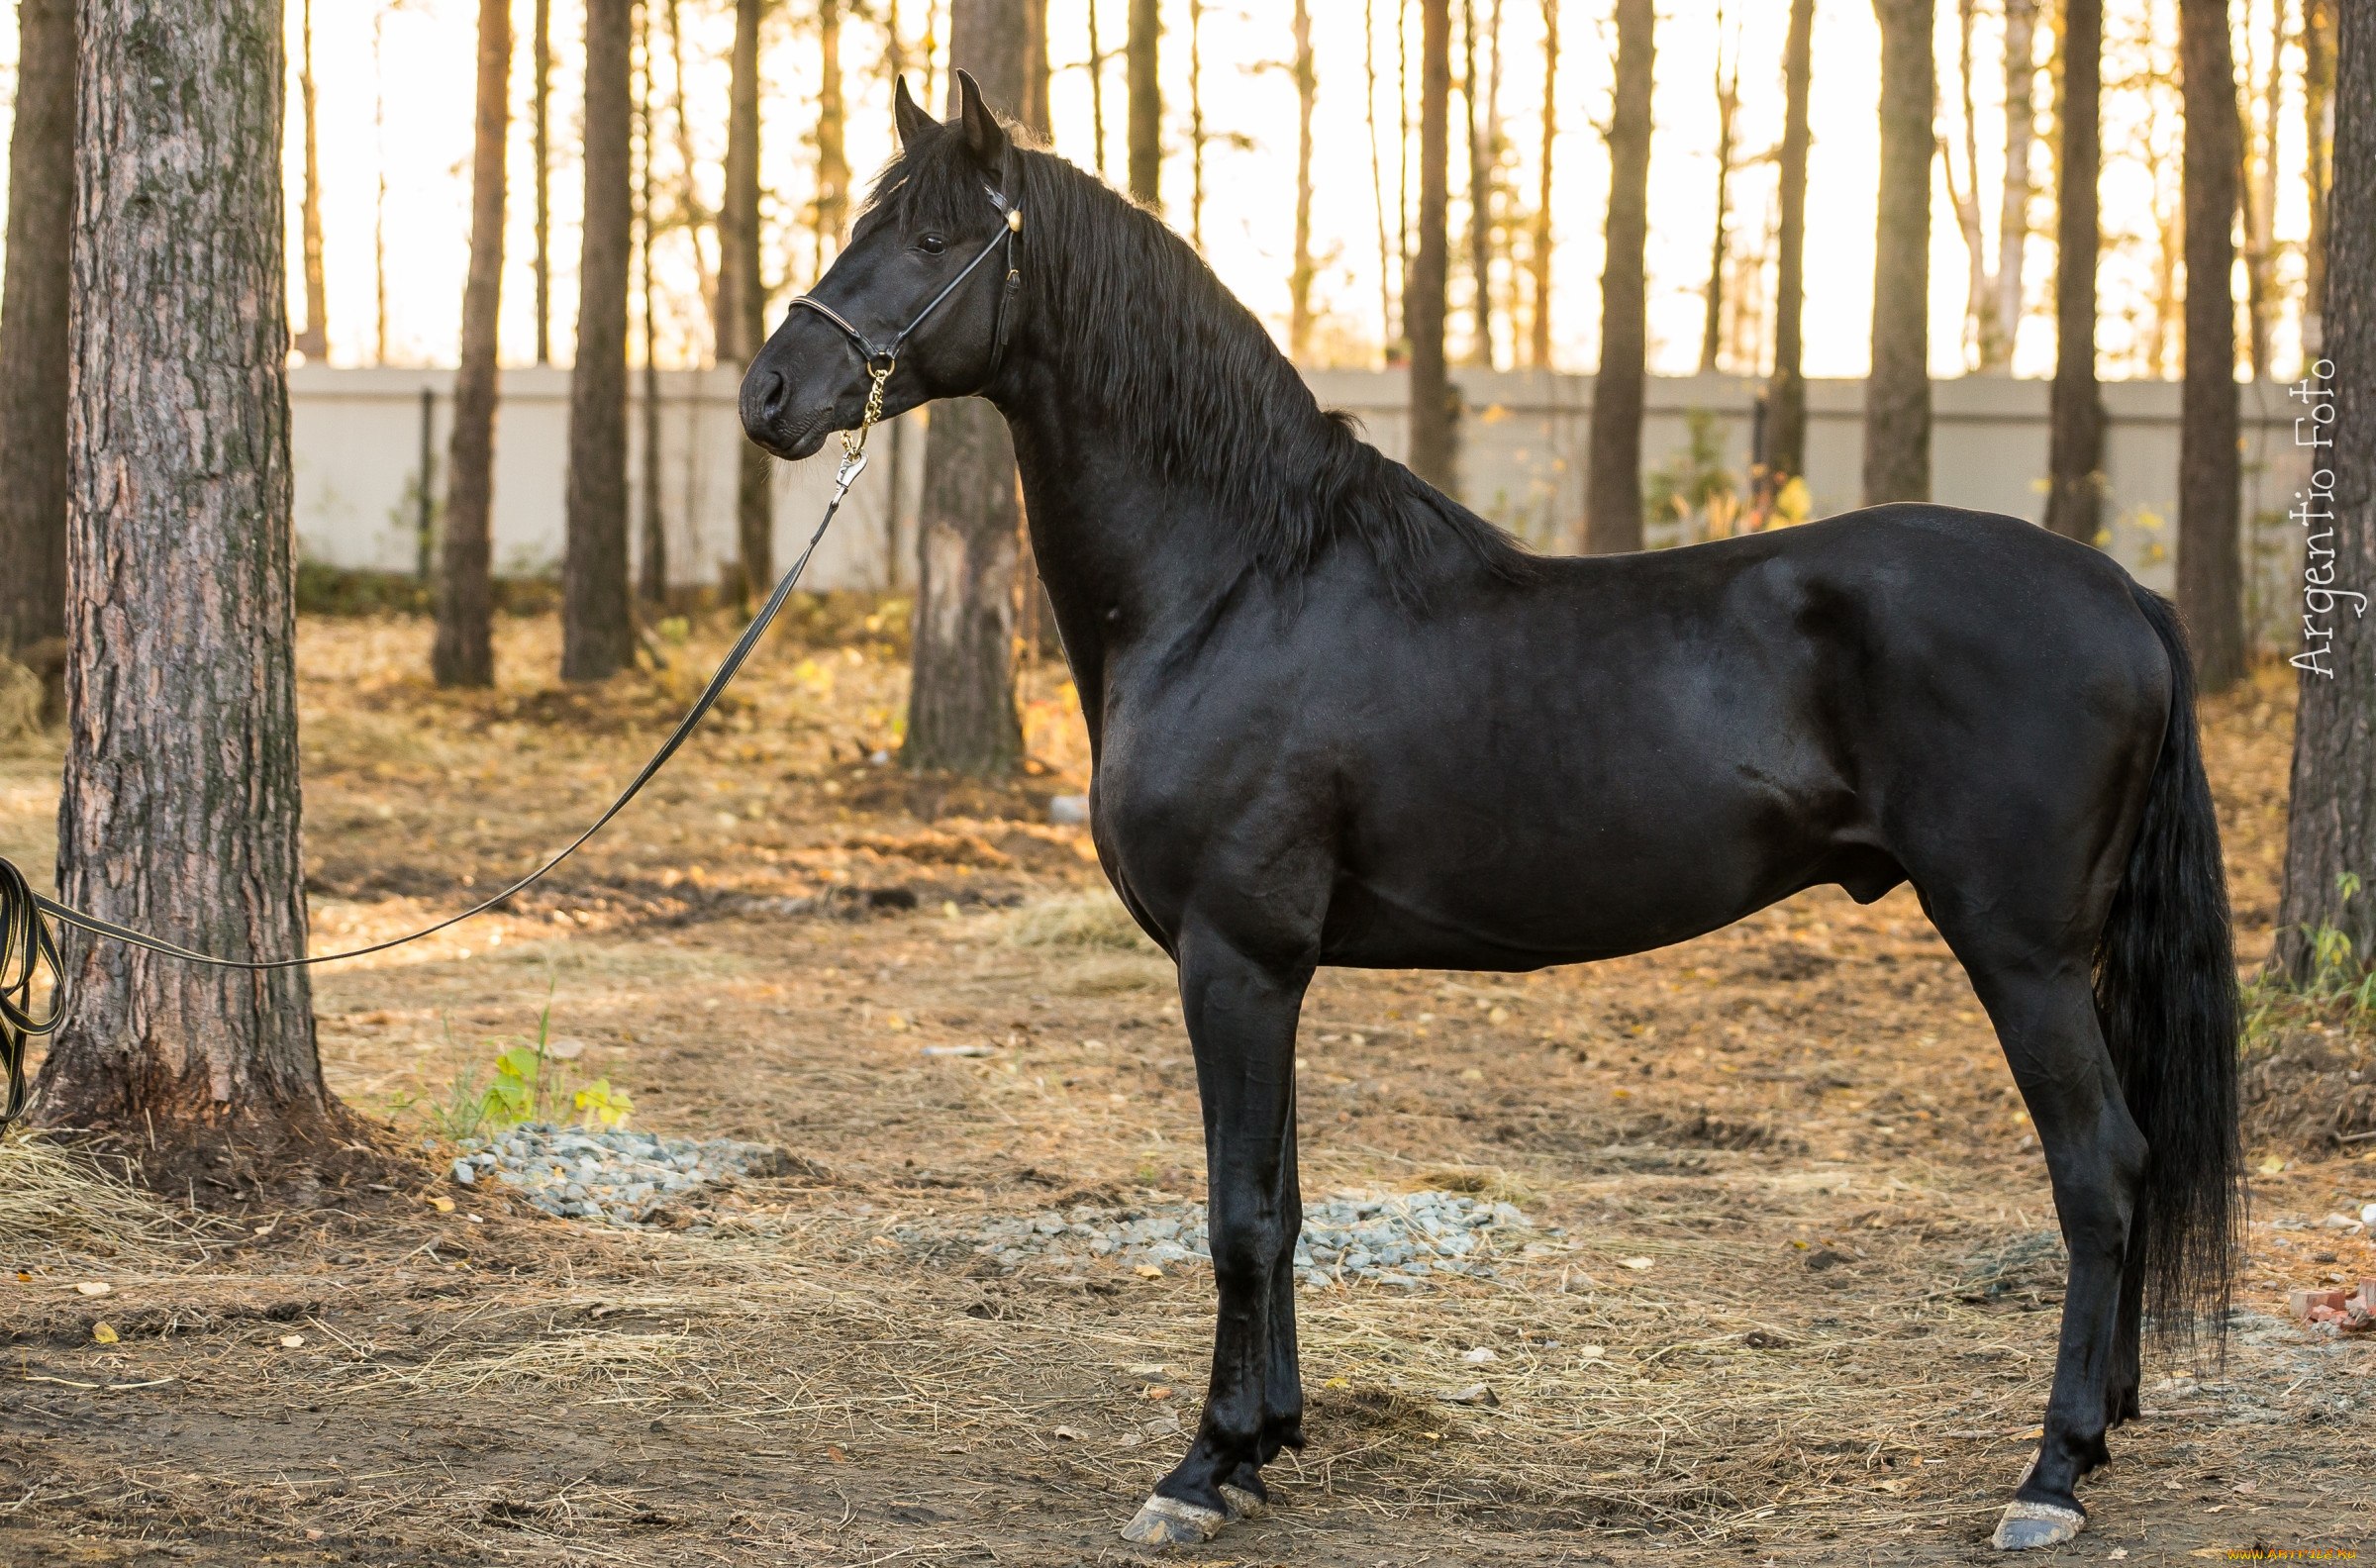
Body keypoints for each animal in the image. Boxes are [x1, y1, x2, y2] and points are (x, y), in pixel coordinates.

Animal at [741, 76, 2242, 1558]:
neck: (1236, 583)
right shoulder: (1270, 969)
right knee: (2132, 1158)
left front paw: (1201, 1467)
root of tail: (2120, 592)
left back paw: (2050, 1475)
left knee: (2100, 1168)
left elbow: (1238, 1216)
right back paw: (2103, 1431)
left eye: (934, 242)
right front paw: (1268, 1443)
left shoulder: (1235, 959)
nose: (771, 394)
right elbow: (1286, 1206)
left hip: (2019, 952)